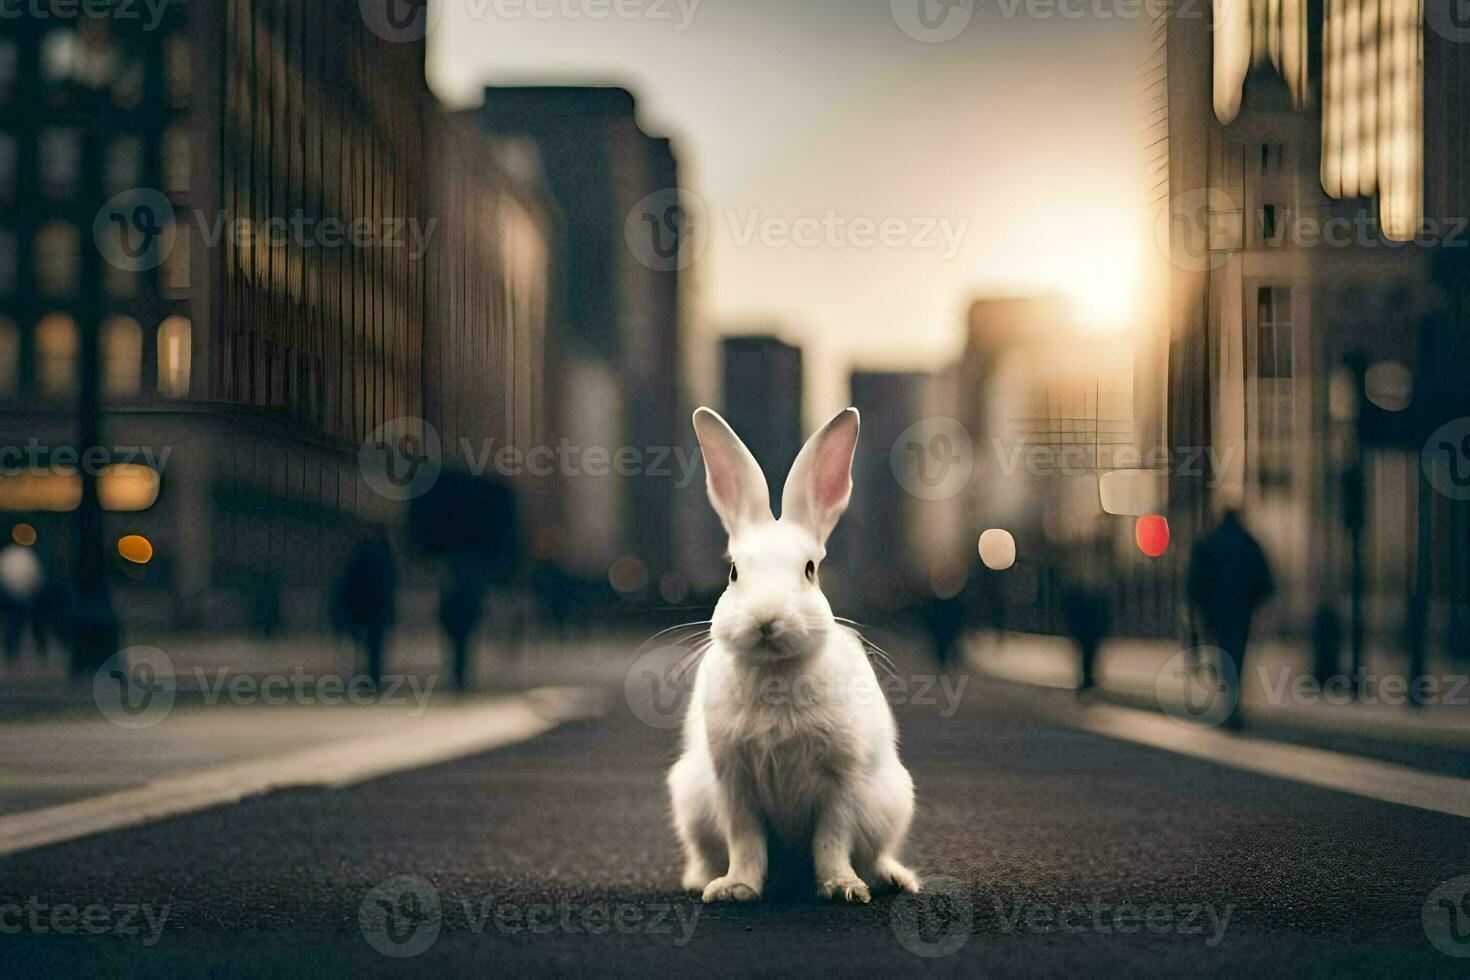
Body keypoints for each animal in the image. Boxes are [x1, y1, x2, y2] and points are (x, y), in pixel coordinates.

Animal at [667, 405, 917, 905]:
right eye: (733, 572)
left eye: (809, 570)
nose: (766, 619)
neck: (774, 670)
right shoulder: (734, 783)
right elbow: (745, 841)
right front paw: (737, 888)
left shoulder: (842, 781)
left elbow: (832, 841)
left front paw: (842, 889)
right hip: (691, 799)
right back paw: (701, 880)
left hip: (892, 798)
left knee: (875, 854)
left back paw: (895, 879)